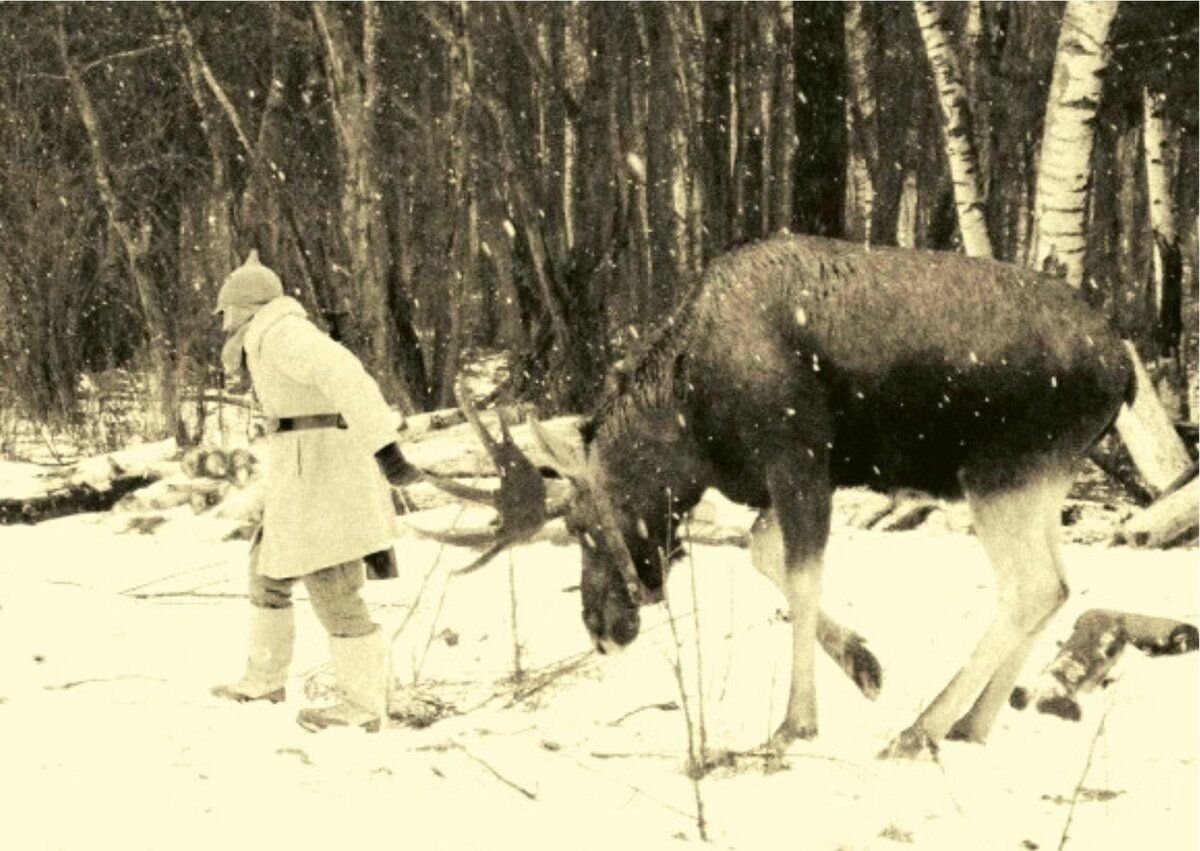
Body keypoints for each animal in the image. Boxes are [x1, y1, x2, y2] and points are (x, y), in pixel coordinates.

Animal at [427, 232, 1128, 758]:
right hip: (1046, 478)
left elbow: (800, 575)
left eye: (579, 526)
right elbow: (760, 553)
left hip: (999, 472)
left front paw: (795, 725)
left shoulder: (798, 459)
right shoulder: (788, 478)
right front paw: (866, 665)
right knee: (1060, 586)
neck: (693, 427)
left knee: (1030, 587)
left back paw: (919, 729)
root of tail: (1124, 370)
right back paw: (971, 724)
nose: (600, 629)